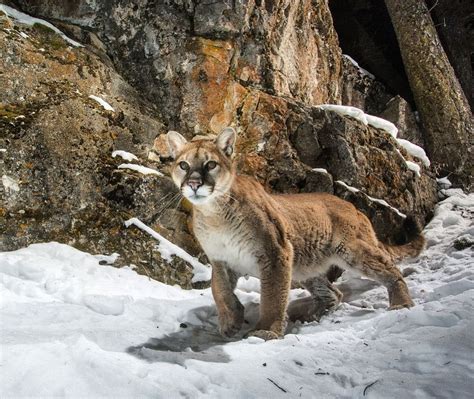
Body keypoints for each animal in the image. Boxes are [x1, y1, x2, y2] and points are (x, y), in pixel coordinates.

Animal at [168, 128, 426, 340]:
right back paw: (311, 317)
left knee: (391, 271)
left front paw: (266, 331)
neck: (214, 213)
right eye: (184, 165)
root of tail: (353, 207)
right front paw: (231, 320)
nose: (193, 183)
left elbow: (272, 296)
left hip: (352, 251)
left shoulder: (275, 253)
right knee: (334, 293)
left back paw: (401, 304)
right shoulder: (220, 259)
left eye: (210, 165)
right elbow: (219, 290)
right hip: (305, 267)